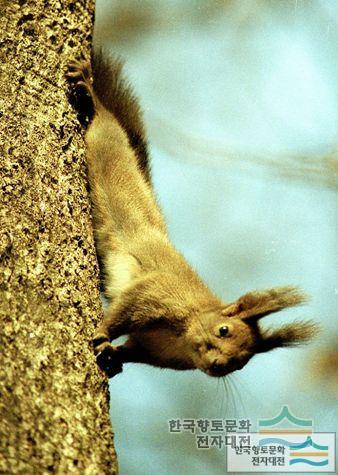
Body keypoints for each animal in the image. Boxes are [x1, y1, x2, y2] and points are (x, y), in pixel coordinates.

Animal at [67, 52, 316, 380]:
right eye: (223, 330)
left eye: (241, 362)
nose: (219, 365)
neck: (183, 334)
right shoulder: (157, 294)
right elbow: (125, 309)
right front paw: (104, 333)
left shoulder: (153, 352)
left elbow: (131, 350)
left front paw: (113, 358)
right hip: (106, 147)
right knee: (104, 123)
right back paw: (90, 93)